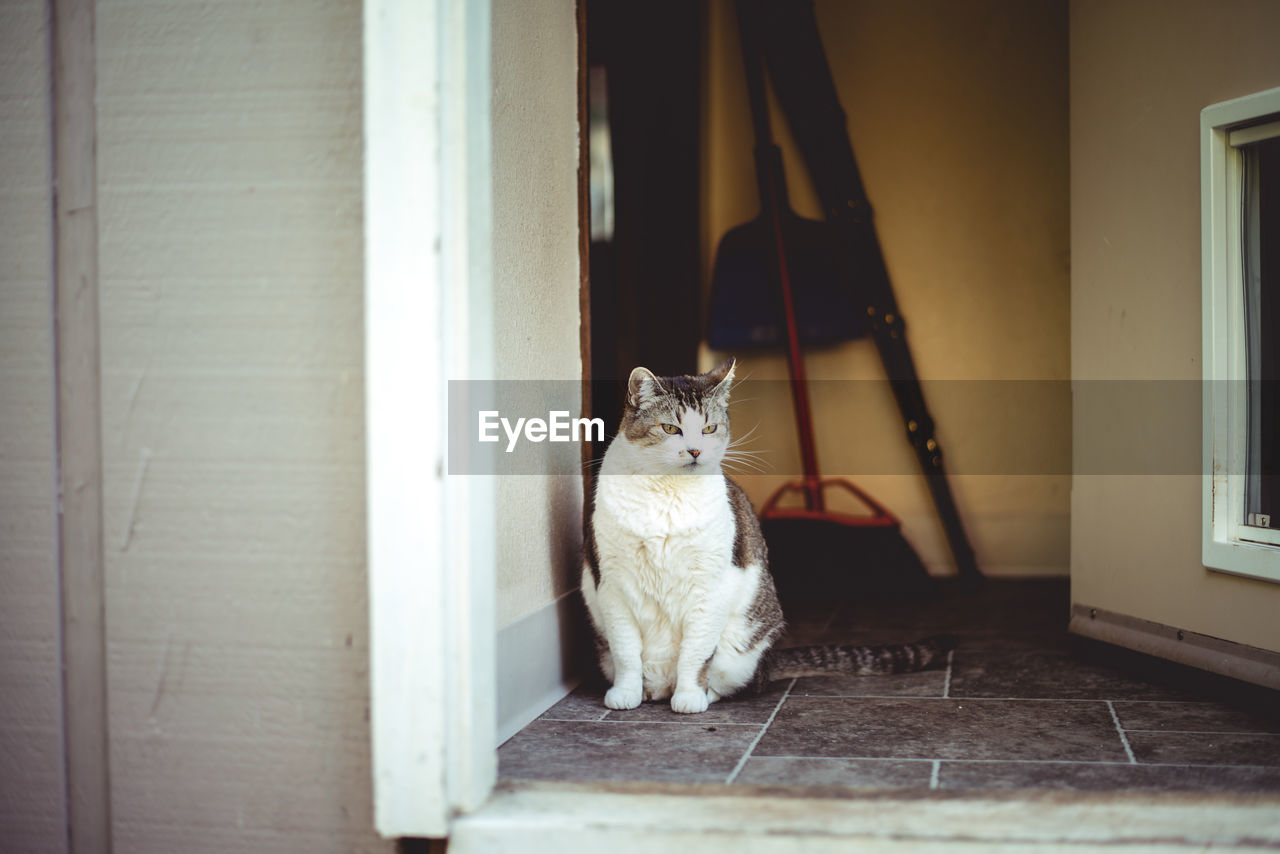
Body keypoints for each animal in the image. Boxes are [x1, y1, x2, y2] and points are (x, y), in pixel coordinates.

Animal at [586, 358, 957, 717]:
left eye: (709, 428)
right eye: (670, 429)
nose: (694, 451)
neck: (666, 493)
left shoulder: (707, 587)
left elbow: (695, 653)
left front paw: (690, 696)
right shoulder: (614, 586)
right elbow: (626, 651)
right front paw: (625, 693)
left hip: (742, 647)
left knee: (740, 680)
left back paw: (702, 693)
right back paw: (649, 691)